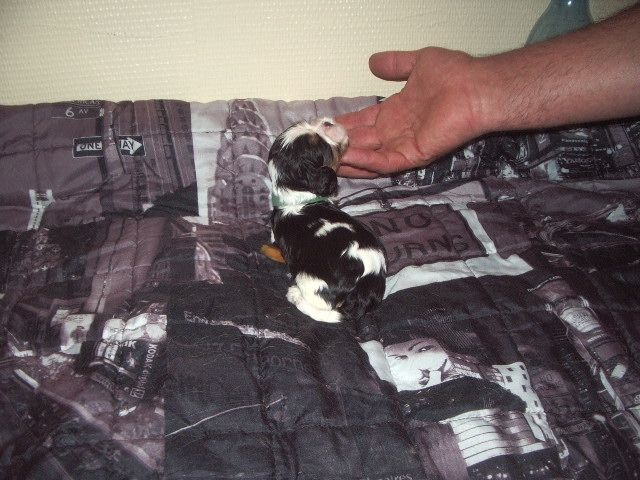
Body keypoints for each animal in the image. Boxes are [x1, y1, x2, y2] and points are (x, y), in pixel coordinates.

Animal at [268, 117, 386, 323]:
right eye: (321, 145)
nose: (328, 122)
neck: (297, 195)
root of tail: (364, 284)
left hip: (308, 279)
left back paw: (295, 295)